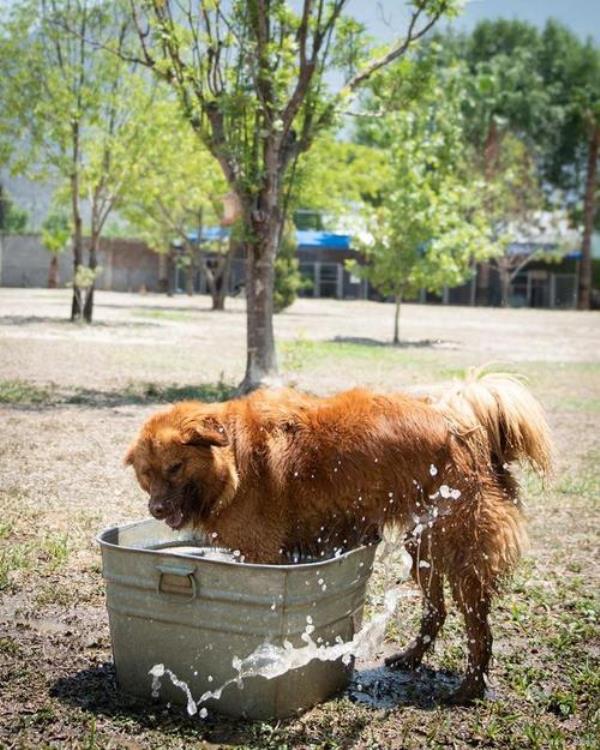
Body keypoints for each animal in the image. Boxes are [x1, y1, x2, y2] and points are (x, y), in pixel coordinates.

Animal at [126, 376, 552, 704]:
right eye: (147, 474)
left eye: (175, 467)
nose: (156, 510)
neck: (233, 459)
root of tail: (460, 422)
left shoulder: (261, 553)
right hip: (423, 544)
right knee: (436, 610)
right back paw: (412, 658)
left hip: (457, 546)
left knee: (478, 627)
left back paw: (470, 688)